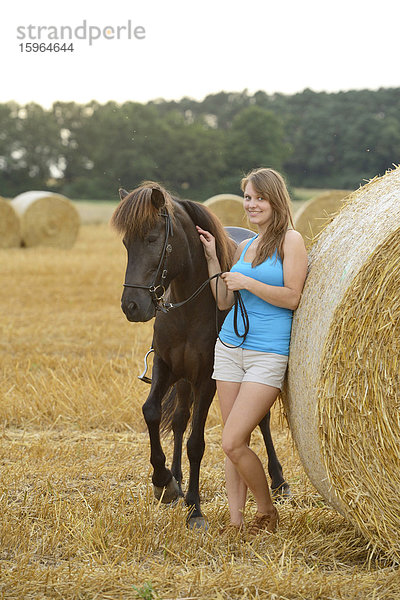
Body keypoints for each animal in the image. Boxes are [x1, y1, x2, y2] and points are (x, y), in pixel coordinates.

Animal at [111, 182, 290, 524]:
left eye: (152, 239)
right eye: (126, 243)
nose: (132, 306)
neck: (188, 307)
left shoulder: (207, 378)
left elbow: (197, 443)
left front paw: (194, 508)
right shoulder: (166, 368)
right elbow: (152, 412)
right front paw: (164, 482)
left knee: (260, 420)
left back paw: (278, 480)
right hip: (183, 380)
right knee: (181, 418)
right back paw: (177, 478)